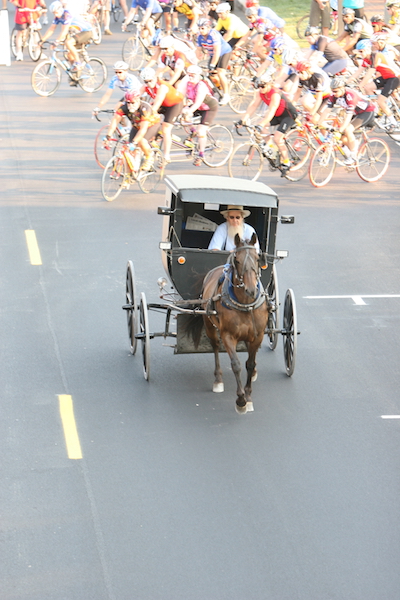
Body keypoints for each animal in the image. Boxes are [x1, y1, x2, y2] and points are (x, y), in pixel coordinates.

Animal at [187, 233, 268, 412]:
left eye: (257, 258)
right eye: (237, 260)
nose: (251, 290)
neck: (246, 304)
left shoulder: (257, 336)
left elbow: (250, 364)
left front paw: (248, 395)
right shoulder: (228, 335)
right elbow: (236, 364)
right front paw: (241, 400)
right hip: (209, 324)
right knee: (215, 346)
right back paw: (218, 379)